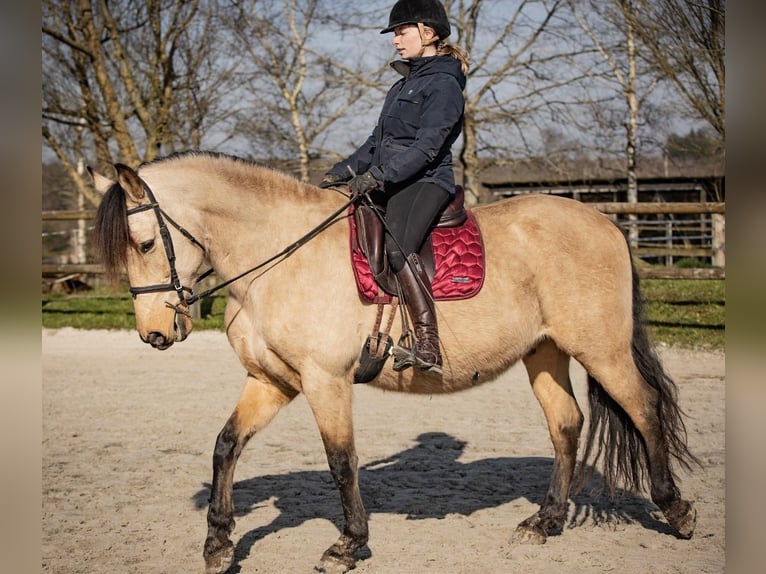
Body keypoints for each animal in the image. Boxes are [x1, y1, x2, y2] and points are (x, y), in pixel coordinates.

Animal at [90, 151, 704, 572]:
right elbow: (225, 446)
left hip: (601, 349)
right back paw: (544, 521)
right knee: (566, 425)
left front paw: (347, 545)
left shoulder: (326, 381)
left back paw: (675, 510)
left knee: (644, 409)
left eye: (145, 243)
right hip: (545, 352)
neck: (277, 259)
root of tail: (606, 223)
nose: (154, 333)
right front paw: (218, 543)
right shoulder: (271, 381)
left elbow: (342, 462)